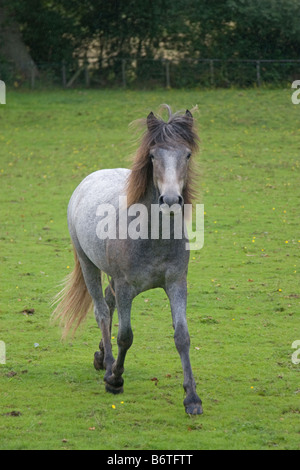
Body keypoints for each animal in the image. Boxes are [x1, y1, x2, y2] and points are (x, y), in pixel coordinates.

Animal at [54, 105, 204, 414]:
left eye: (187, 154)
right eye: (153, 156)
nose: (170, 200)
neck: (153, 237)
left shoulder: (176, 283)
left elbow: (182, 336)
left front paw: (192, 398)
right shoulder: (126, 288)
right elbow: (125, 335)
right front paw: (115, 379)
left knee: (107, 302)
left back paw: (102, 357)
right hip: (88, 266)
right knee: (101, 310)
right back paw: (109, 365)